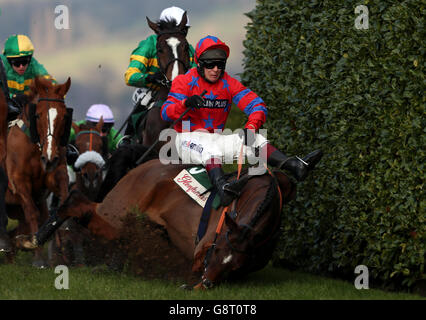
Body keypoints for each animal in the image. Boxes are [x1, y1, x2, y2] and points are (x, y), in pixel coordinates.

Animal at [5, 77, 72, 268]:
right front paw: (37, 256)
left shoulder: (54, 175)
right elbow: (32, 213)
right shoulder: (19, 182)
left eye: (64, 116)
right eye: (38, 115)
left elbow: (62, 203)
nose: (49, 157)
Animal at [35, 160, 296, 288]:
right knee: (77, 201)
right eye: (216, 248)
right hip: (115, 214)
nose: (205, 284)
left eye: (235, 264)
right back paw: (40, 235)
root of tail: (144, 165)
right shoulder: (201, 250)